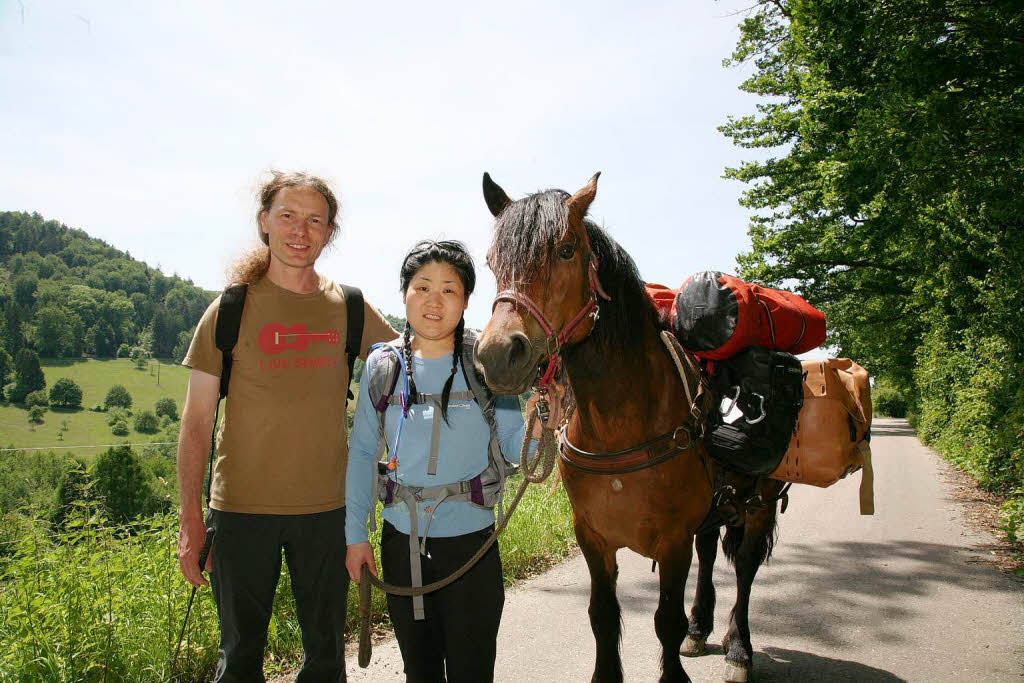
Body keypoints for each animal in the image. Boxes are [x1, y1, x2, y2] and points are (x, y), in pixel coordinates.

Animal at [473, 172, 782, 683]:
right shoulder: (592, 537)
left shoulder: (673, 540)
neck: (623, 425)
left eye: (566, 249)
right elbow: (602, 616)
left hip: (761, 505)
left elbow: (665, 621)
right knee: (709, 552)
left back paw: (739, 649)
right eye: (492, 260)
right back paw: (701, 628)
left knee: (745, 570)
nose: (498, 354)